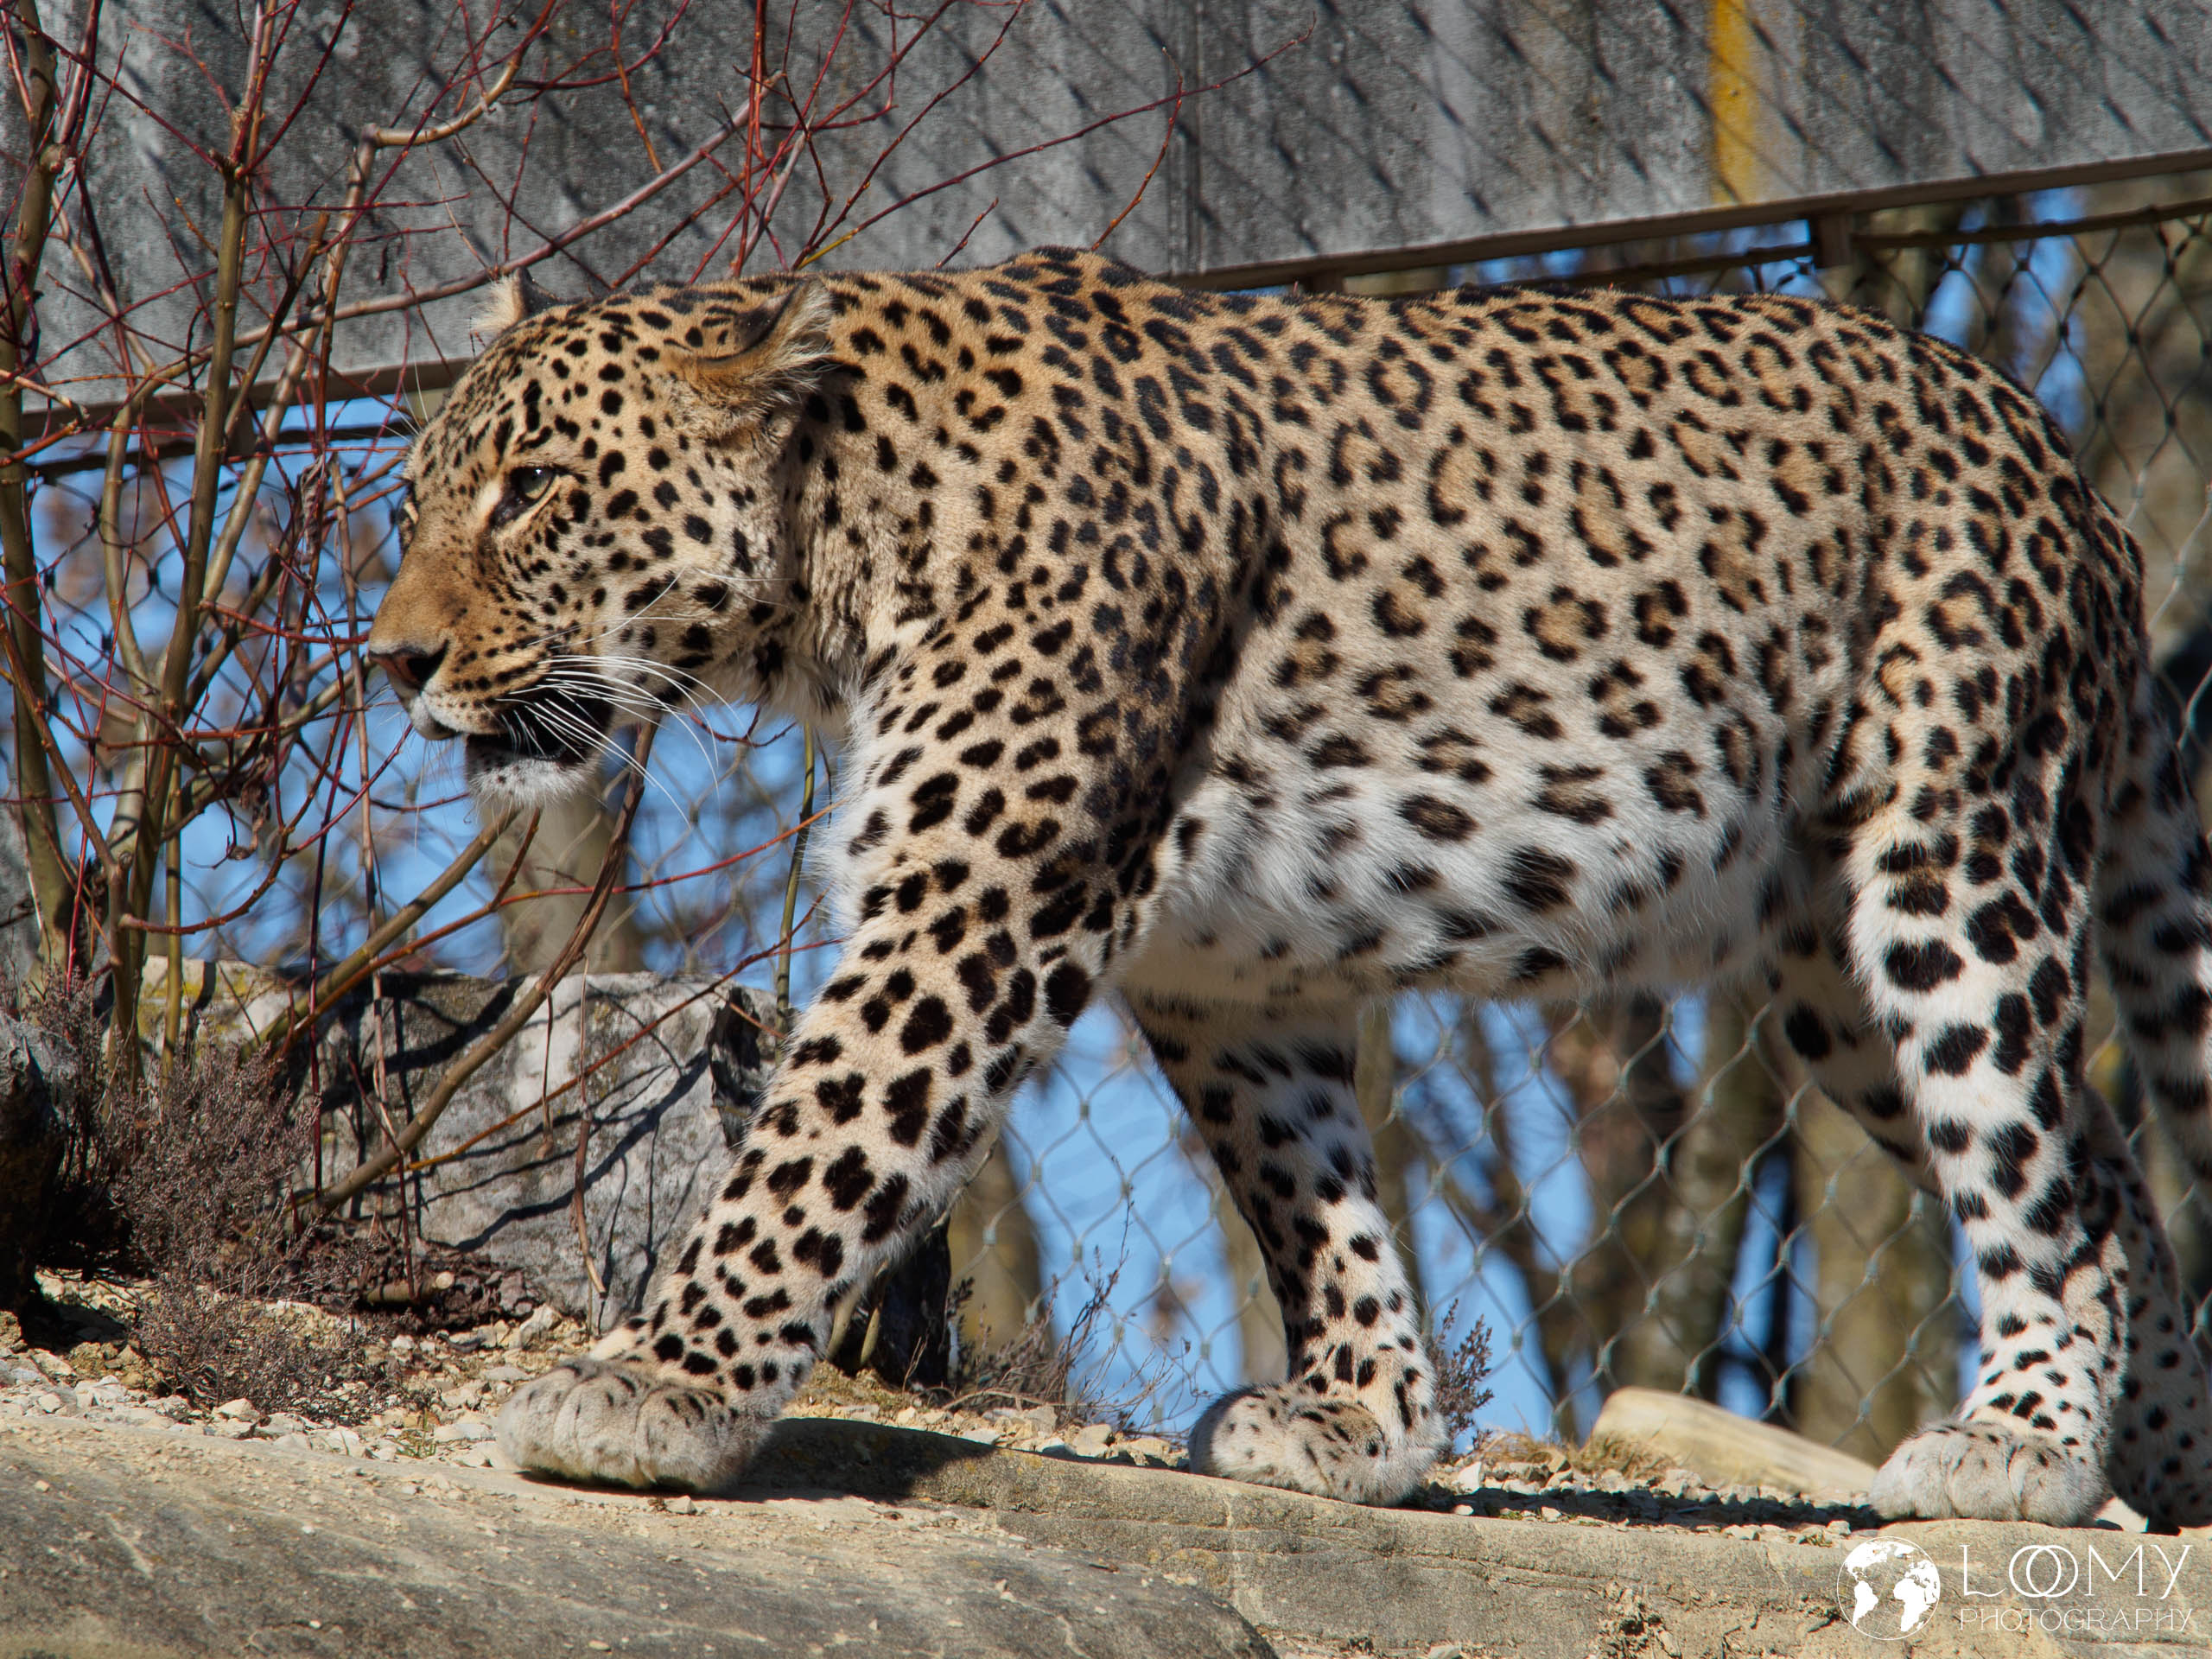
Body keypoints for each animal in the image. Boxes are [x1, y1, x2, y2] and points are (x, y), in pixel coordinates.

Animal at [367, 245, 2212, 1529]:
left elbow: (809, 1154)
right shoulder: (1223, 964)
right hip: (1832, 978)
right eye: (418, 498)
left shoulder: (973, 901)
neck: (833, 573)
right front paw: (1364, 1420)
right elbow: (1310, 1190)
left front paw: (657, 1389)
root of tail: (2068, 467)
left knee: (2045, 1179)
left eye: (532, 491)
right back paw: (2165, 1467)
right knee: (2112, 1173)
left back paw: (2029, 1448)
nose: (391, 661)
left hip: (1951, 860)